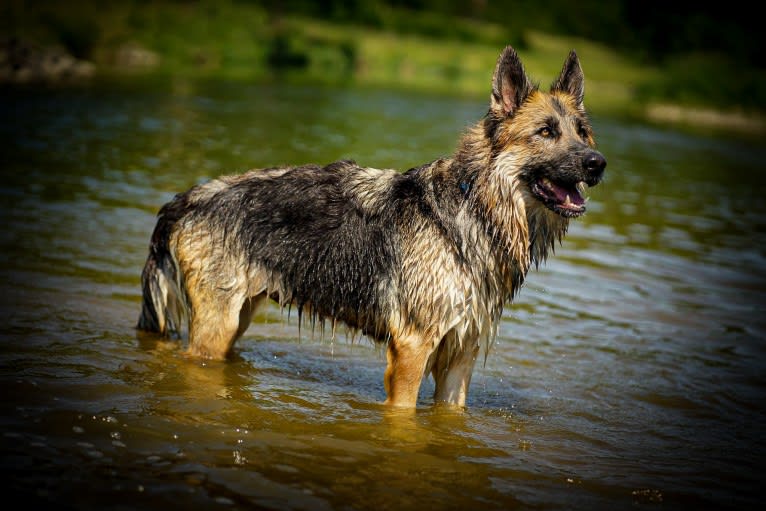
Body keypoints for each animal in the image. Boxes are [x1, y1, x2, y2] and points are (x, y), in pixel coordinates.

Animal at [136, 46, 608, 410]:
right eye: (545, 131)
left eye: (583, 133)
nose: (597, 164)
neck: (475, 210)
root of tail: (189, 196)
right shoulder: (412, 351)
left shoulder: (460, 359)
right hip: (213, 332)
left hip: (237, 320)